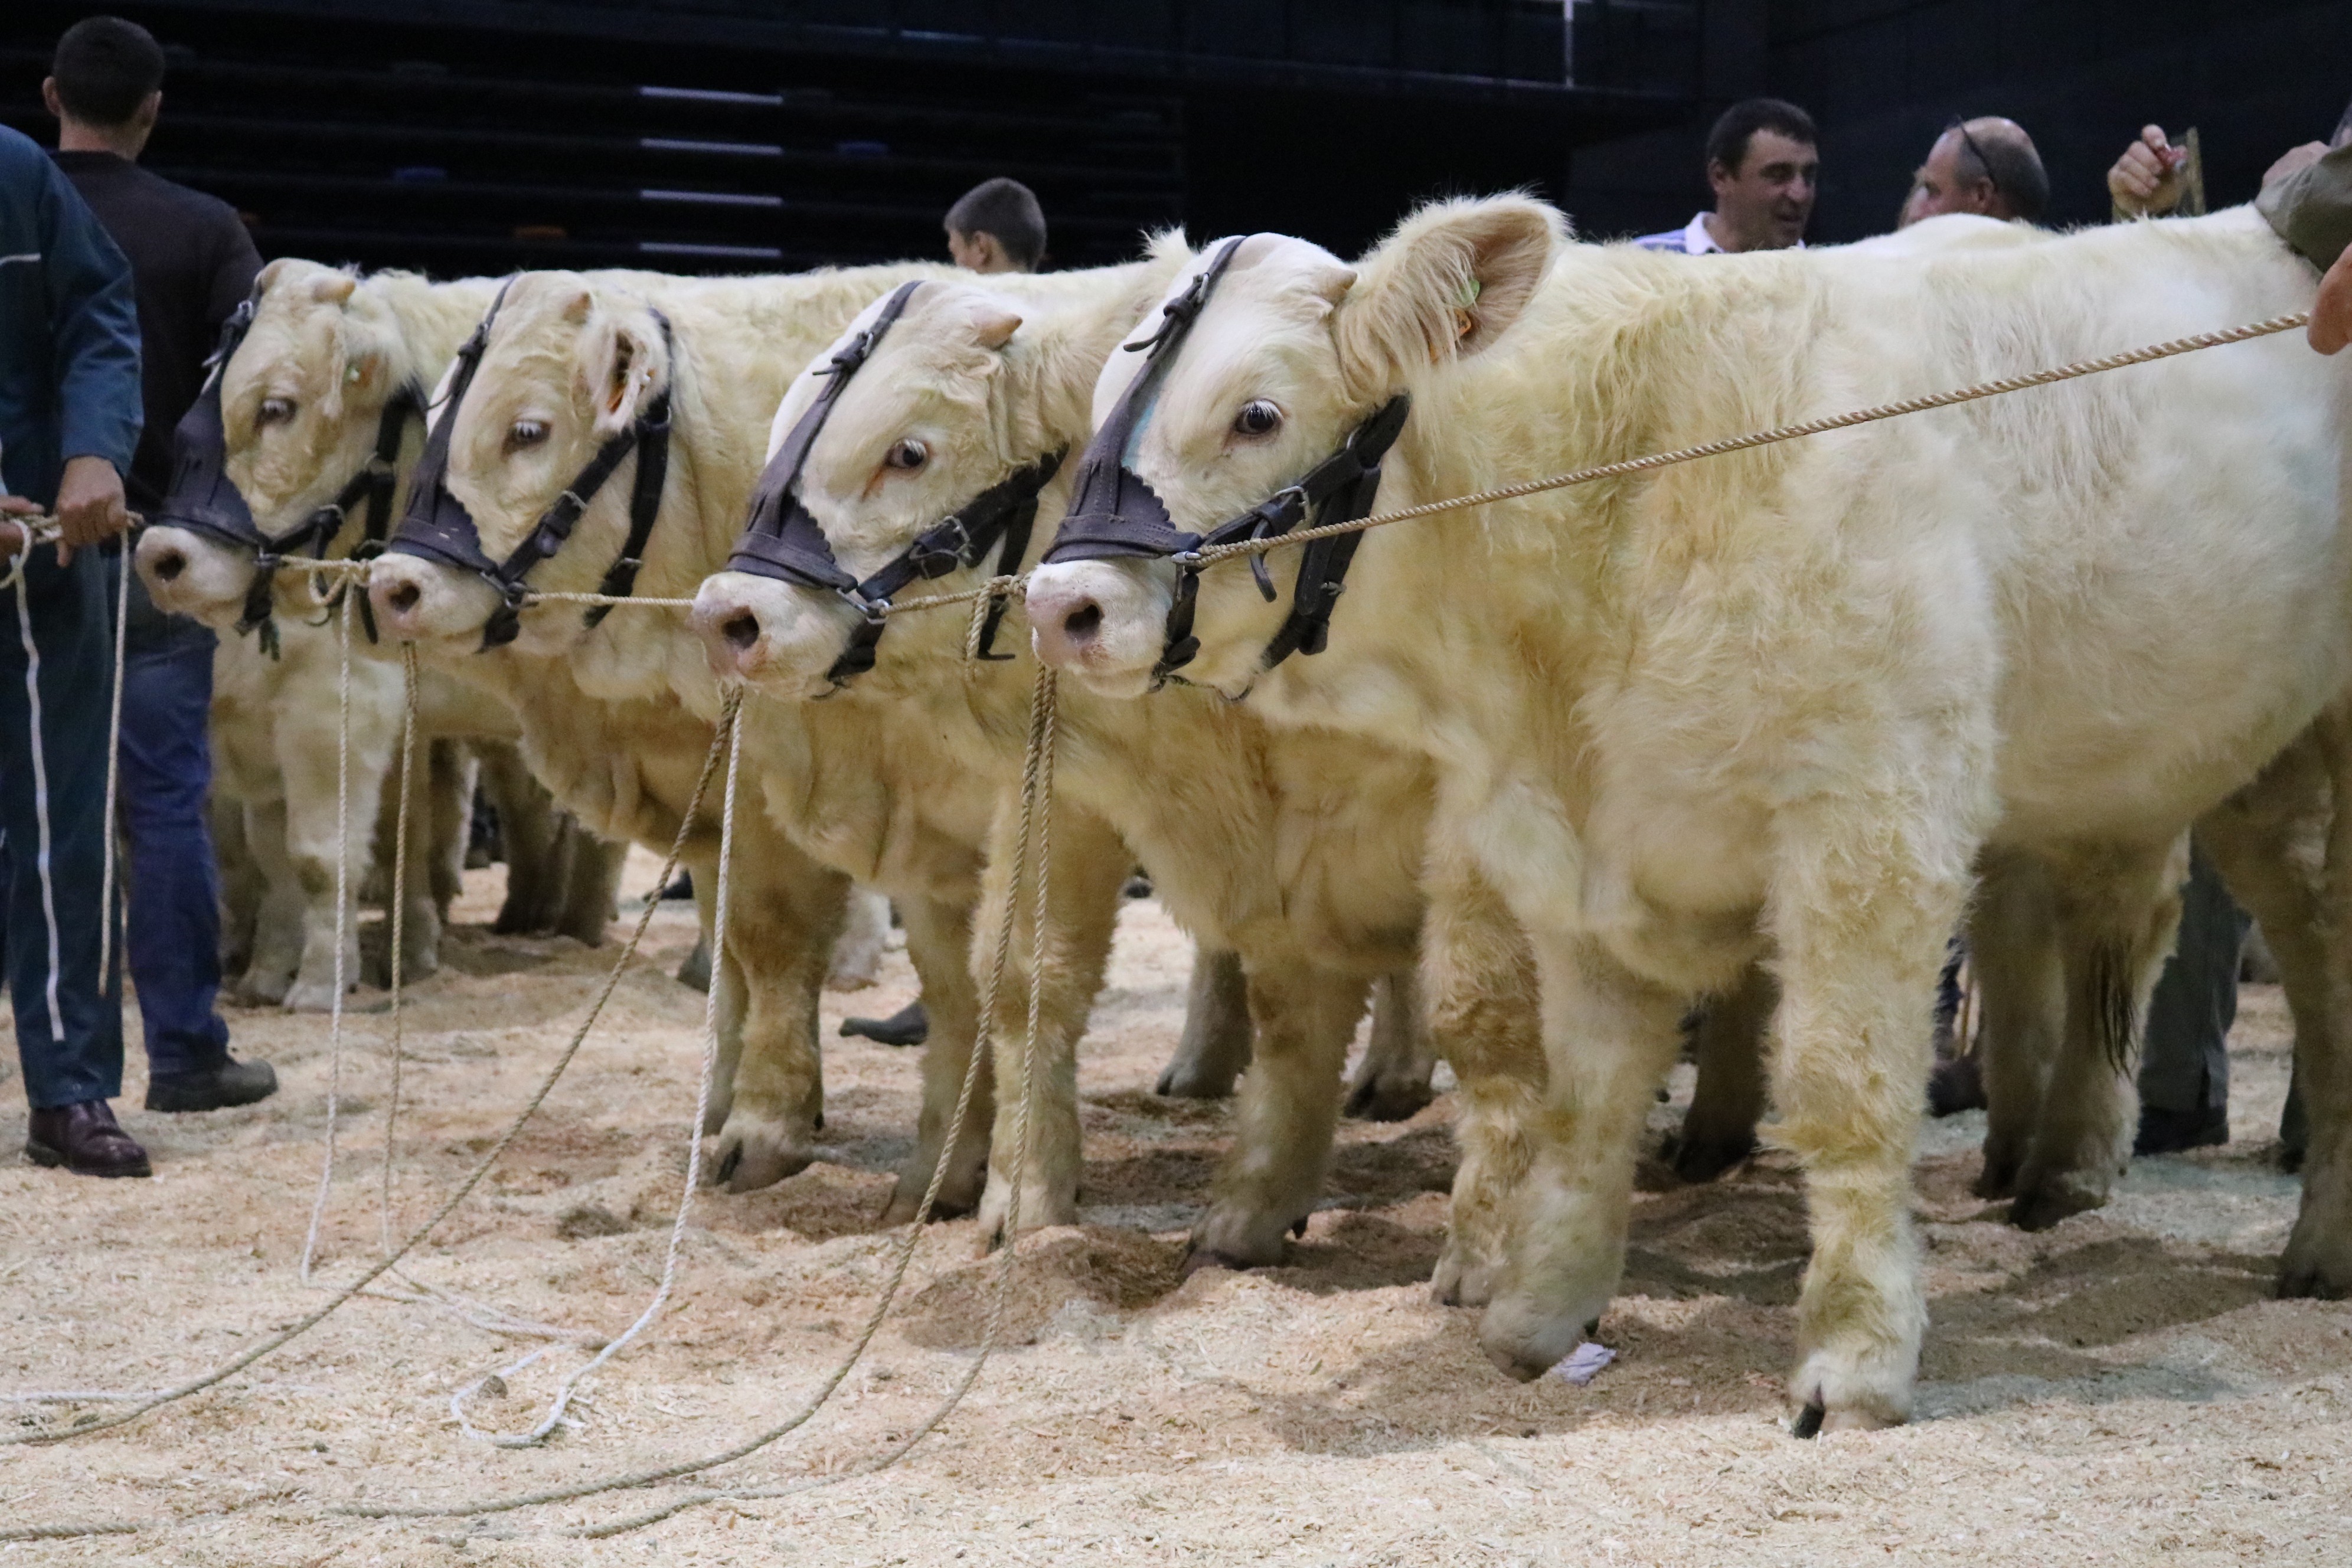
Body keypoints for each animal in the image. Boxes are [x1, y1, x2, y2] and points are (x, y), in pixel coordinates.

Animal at [682, 261, 1533, 1288]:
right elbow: (1000, 979)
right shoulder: (1055, 794)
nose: (726, 617)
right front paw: (990, 1193)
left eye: (908, 453)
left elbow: (1471, 1005)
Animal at [1034, 200, 2352, 1438]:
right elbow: (1584, 1096)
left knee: (2312, 972)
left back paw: (2308, 1240)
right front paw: (1538, 1317)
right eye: (1099, 408)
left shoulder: (1871, 818)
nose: (1061, 605)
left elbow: (1840, 1088)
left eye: (1255, 414)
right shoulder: (1573, 852)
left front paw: (1854, 1357)